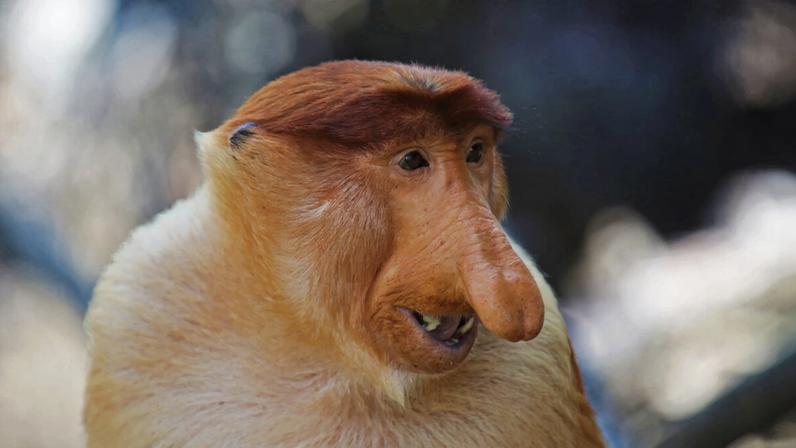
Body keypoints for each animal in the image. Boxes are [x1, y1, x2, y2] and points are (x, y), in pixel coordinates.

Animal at [84, 60, 604, 447]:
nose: (512, 290)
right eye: (412, 160)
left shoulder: (537, 369)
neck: (320, 355)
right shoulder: (139, 308)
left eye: (475, 152)